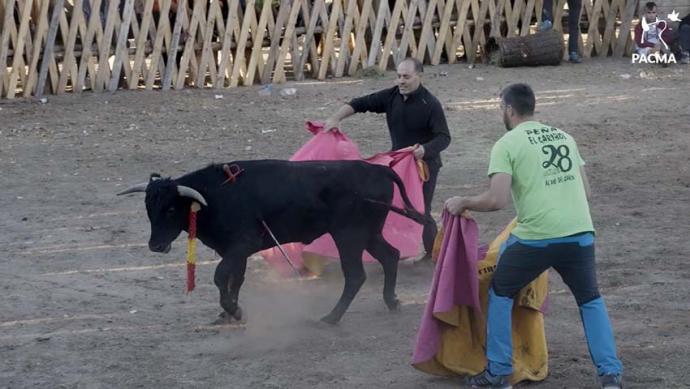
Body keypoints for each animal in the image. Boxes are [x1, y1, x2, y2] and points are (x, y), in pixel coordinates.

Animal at [118, 159, 430, 322]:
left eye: (171, 209)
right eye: (148, 207)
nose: (156, 246)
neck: (213, 197)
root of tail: (379, 168)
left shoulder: (240, 246)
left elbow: (221, 276)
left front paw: (233, 310)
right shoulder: (237, 251)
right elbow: (236, 279)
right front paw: (229, 313)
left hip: (349, 236)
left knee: (355, 275)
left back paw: (330, 318)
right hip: (369, 233)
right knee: (390, 255)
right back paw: (391, 301)